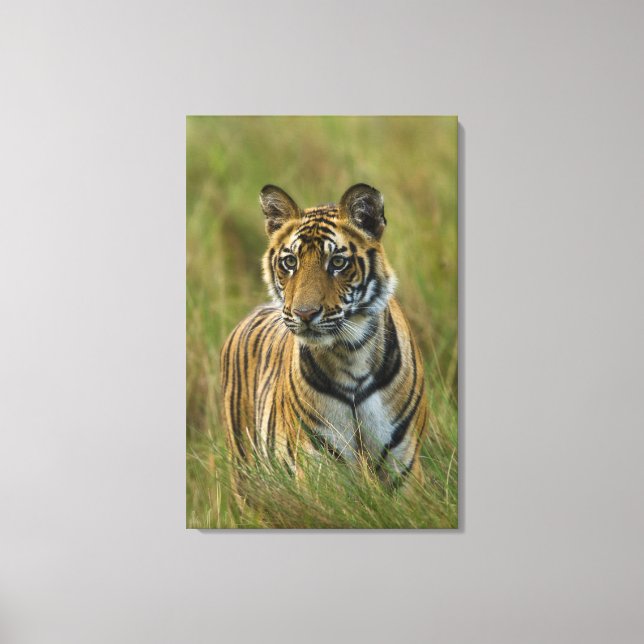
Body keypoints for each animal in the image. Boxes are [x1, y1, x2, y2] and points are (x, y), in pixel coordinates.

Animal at [220, 183, 428, 488]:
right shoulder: (322, 465)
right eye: (290, 262)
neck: (351, 353)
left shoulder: (402, 465)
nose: (304, 313)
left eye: (338, 262)